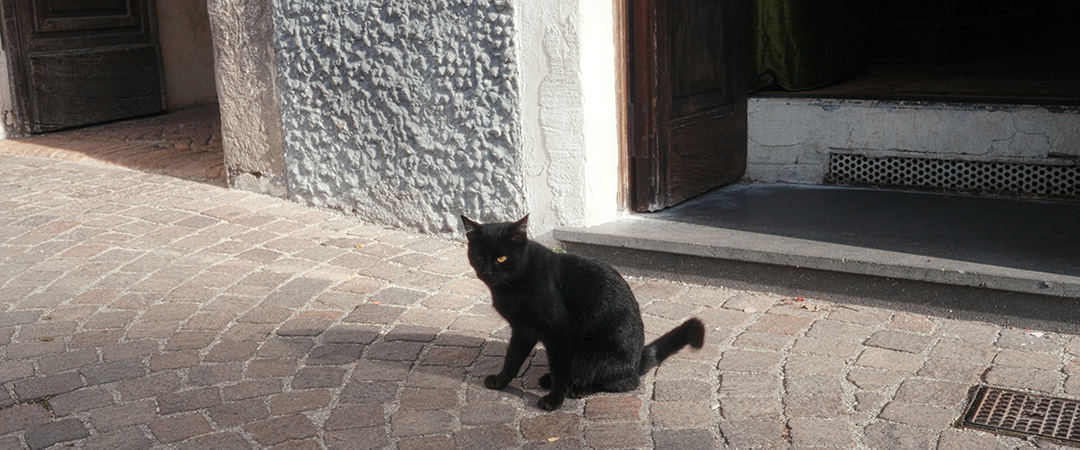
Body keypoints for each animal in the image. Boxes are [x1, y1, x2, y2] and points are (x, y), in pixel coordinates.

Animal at [460, 213, 704, 410]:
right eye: (479, 257)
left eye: (501, 258)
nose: (487, 271)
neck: (511, 286)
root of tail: (637, 363)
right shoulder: (523, 330)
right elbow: (512, 360)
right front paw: (500, 382)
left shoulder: (561, 331)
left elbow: (559, 369)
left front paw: (554, 401)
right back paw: (550, 380)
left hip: (594, 352)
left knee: (619, 382)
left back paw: (579, 388)